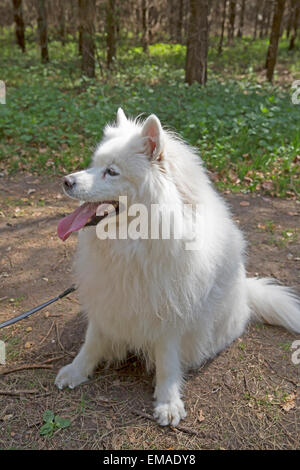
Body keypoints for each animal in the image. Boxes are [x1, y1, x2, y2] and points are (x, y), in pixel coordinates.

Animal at [55, 109, 300, 426]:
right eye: (93, 165)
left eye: (112, 171)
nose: (66, 181)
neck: (133, 242)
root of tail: (246, 293)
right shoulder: (107, 299)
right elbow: (92, 341)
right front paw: (77, 371)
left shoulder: (170, 314)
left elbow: (167, 363)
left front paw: (167, 402)